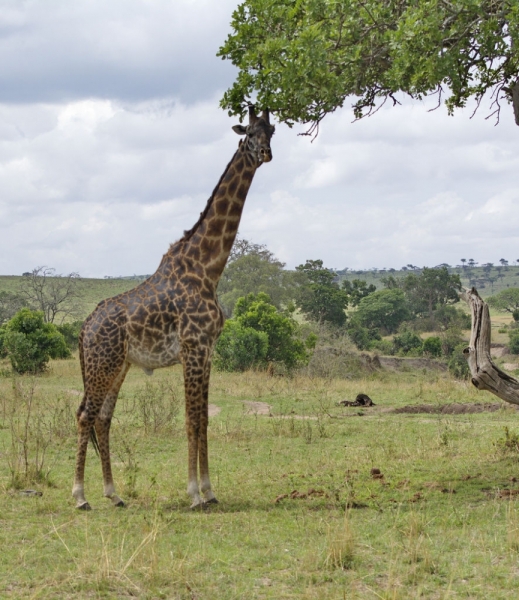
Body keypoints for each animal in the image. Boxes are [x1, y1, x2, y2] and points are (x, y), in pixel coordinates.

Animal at [73, 108, 276, 510]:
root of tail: (85, 327)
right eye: (248, 134)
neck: (208, 268)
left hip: (117, 365)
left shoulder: (208, 350)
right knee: (86, 414)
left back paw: (113, 494)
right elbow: (191, 420)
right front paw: (194, 494)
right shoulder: (193, 348)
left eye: (272, 131)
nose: (265, 153)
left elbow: (204, 420)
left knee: (102, 417)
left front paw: (210, 491)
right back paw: (80, 495)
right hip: (102, 364)